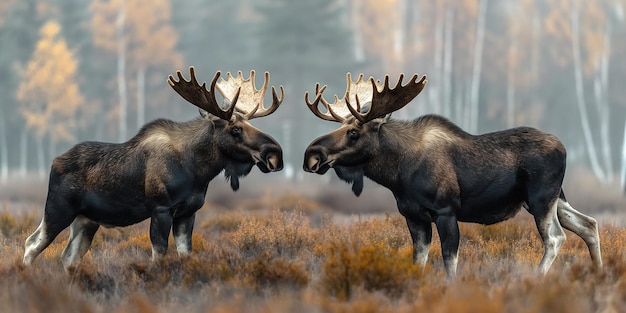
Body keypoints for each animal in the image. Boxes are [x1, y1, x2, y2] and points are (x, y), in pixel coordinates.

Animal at [23, 66, 282, 268]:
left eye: (249, 124)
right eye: (235, 129)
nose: (275, 153)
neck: (199, 172)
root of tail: (53, 162)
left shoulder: (188, 212)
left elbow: (185, 254)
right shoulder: (161, 208)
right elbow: (159, 254)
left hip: (86, 219)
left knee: (68, 257)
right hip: (58, 209)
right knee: (31, 244)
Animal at [302, 72, 600, 276]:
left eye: (354, 132)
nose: (311, 155)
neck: (397, 175)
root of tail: (564, 147)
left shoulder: (446, 211)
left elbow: (449, 262)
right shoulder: (413, 216)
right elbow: (418, 261)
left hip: (541, 198)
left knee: (556, 237)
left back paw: (537, 278)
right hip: (553, 198)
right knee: (589, 223)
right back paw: (598, 273)